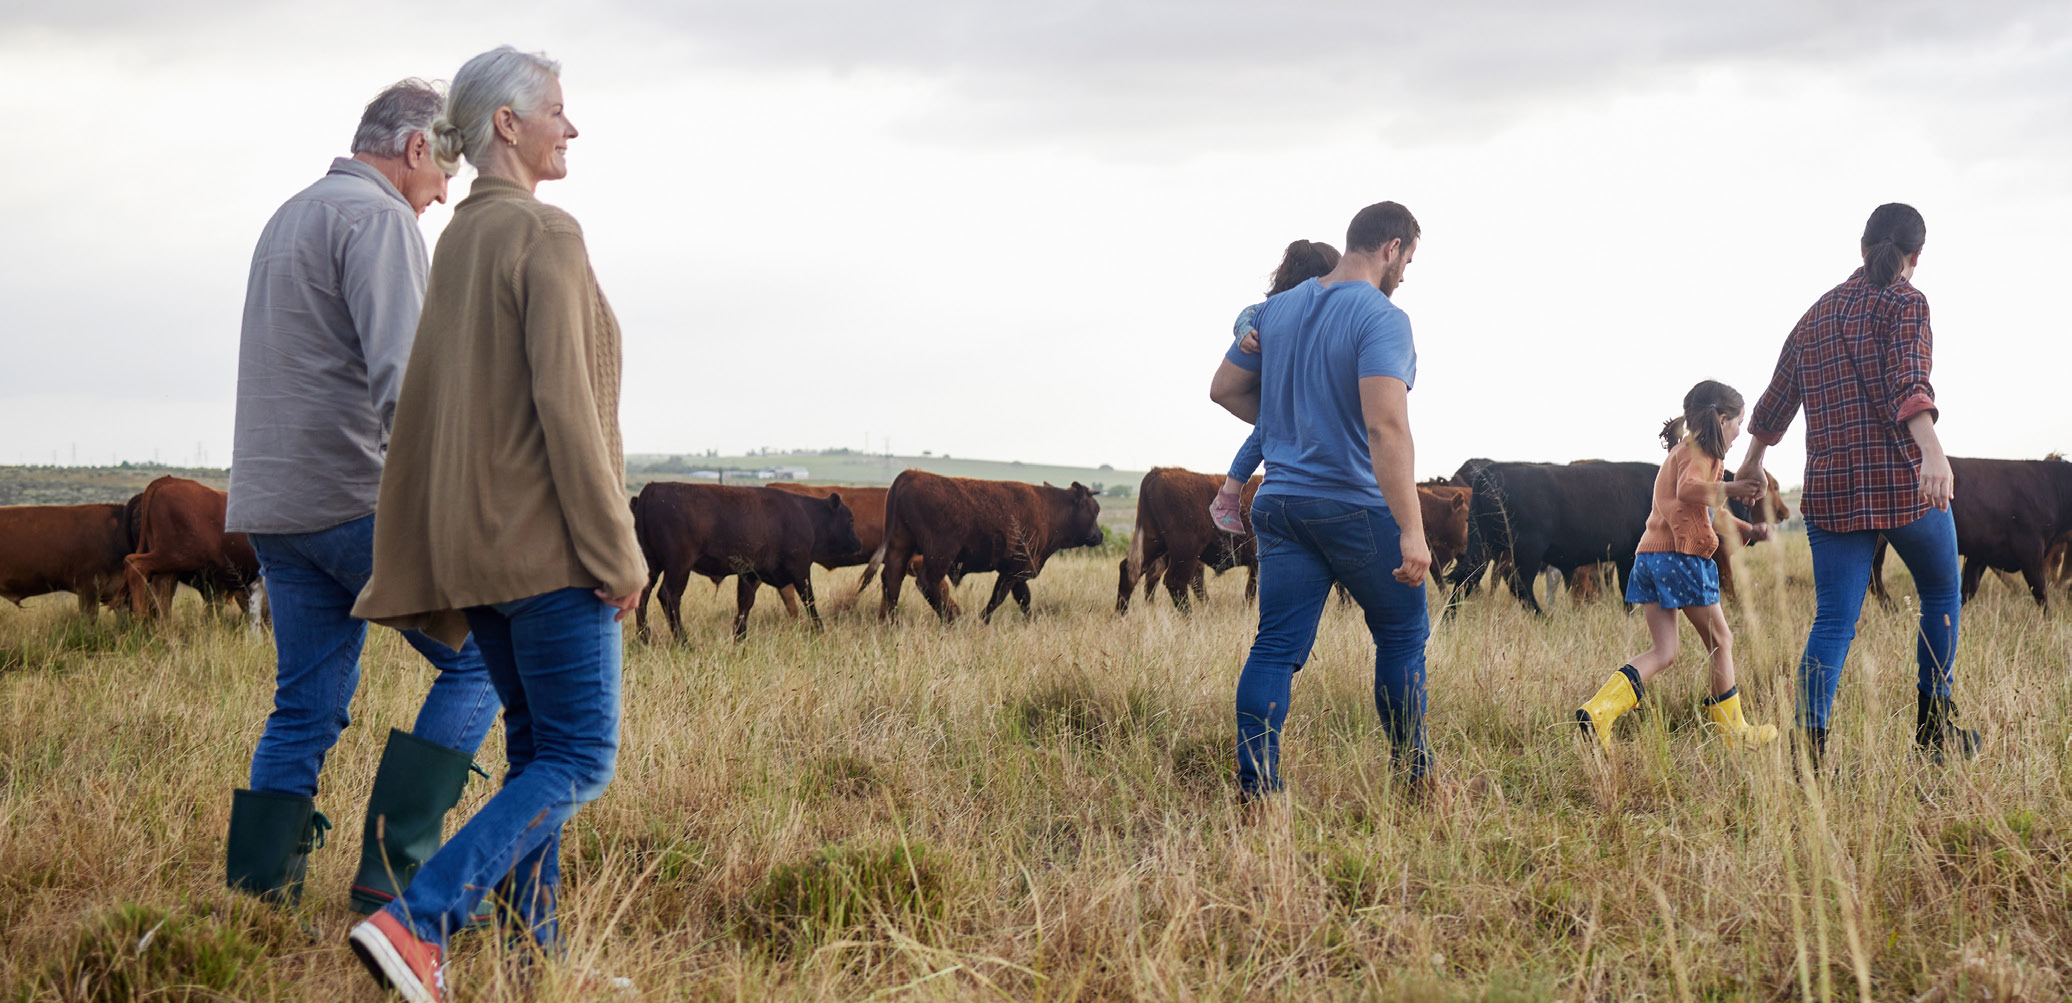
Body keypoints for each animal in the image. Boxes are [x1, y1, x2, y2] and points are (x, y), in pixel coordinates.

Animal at [122, 476, 263, 617]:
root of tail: (169, 480)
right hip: (179, 556)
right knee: (136, 564)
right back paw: (141, 615)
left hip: (171, 565)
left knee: (161, 593)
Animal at [629, 482, 857, 642]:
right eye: (850, 520)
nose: (858, 543)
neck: (808, 516)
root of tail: (651, 489)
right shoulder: (800, 569)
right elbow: (809, 599)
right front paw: (819, 630)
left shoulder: (750, 573)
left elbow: (745, 603)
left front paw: (739, 637)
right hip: (679, 565)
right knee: (669, 596)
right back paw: (683, 642)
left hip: (651, 564)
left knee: (643, 594)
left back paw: (643, 638)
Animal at [870, 468, 1102, 617]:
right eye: (1095, 509)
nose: (1099, 536)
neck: (1049, 508)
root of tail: (911, 474)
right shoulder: (1014, 569)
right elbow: (999, 598)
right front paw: (982, 620)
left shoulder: (1016, 572)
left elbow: (1023, 599)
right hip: (940, 554)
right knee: (926, 582)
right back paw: (952, 617)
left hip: (901, 546)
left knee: (892, 579)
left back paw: (891, 623)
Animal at [1118, 472, 1259, 617]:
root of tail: (1159, 471)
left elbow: (1251, 590)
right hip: (1186, 551)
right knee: (1175, 580)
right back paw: (1192, 619)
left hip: (1155, 544)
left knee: (1131, 570)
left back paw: (1122, 615)